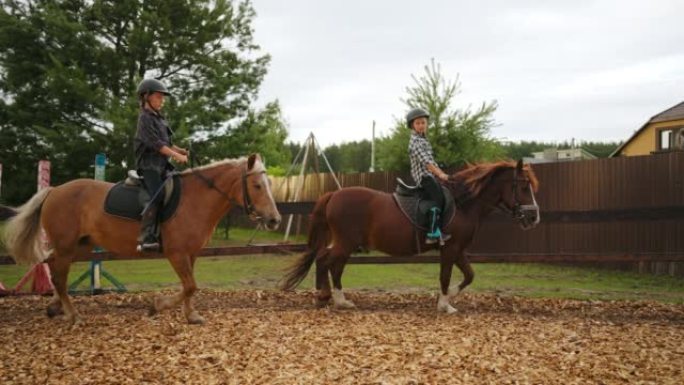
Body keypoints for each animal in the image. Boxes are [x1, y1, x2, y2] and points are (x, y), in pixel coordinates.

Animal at [2, 153, 280, 324]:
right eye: (257, 186)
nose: (274, 220)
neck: (196, 199)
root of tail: (54, 190)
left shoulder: (191, 253)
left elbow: (190, 286)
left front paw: (191, 316)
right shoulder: (177, 253)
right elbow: (190, 286)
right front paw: (157, 306)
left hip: (79, 246)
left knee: (54, 267)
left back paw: (55, 307)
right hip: (67, 245)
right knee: (59, 275)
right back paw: (73, 315)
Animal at [280, 159, 536, 312]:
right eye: (524, 187)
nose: (534, 217)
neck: (464, 204)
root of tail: (333, 194)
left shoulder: (458, 249)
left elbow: (469, 275)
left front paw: (449, 298)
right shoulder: (450, 248)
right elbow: (445, 276)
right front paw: (445, 304)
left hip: (346, 243)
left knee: (333, 264)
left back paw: (338, 299)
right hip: (345, 243)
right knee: (324, 260)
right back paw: (326, 297)